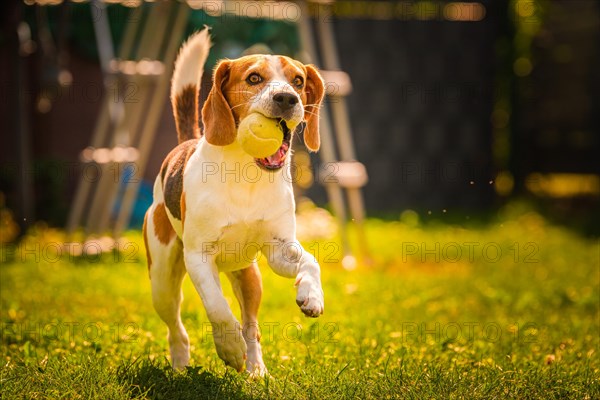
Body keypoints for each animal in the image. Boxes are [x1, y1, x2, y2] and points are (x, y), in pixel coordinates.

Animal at [143, 28, 326, 376]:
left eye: (297, 80)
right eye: (254, 77)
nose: (287, 98)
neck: (246, 174)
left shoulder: (279, 249)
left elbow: (311, 261)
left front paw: (312, 294)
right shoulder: (199, 257)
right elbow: (217, 307)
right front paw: (228, 348)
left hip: (249, 276)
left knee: (251, 326)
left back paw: (256, 369)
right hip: (161, 281)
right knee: (177, 328)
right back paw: (180, 365)